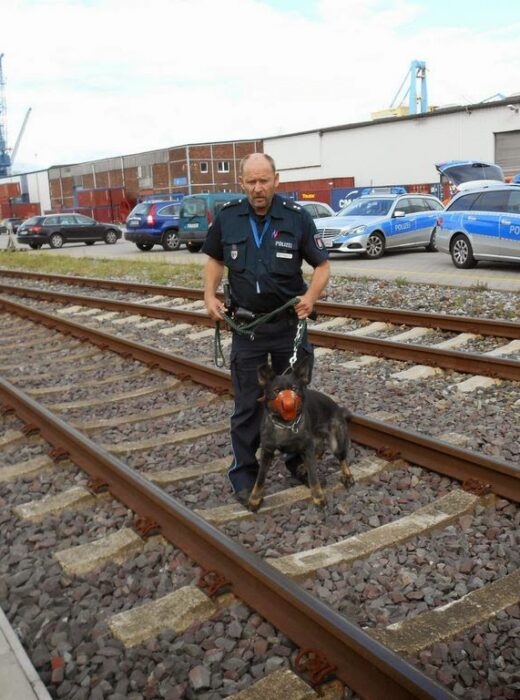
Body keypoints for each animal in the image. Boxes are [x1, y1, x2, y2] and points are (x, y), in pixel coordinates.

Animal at [248, 356, 354, 516]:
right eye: (276, 391)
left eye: (294, 389)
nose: (288, 403)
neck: (286, 425)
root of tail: (337, 407)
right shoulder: (267, 452)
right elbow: (260, 479)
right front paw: (254, 499)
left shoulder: (307, 447)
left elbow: (313, 477)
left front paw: (318, 498)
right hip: (315, 440)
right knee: (319, 452)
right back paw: (303, 466)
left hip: (336, 443)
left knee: (341, 459)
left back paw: (347, 476)